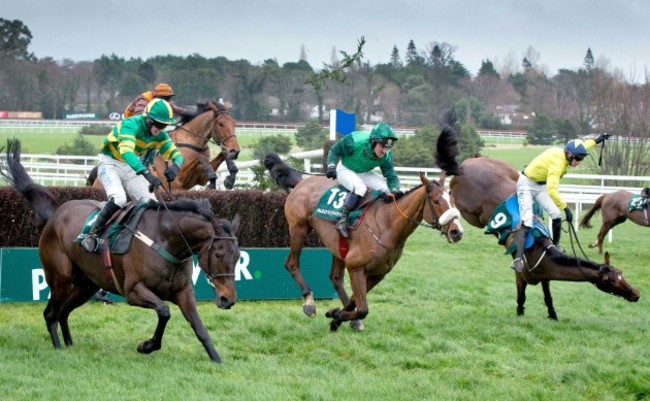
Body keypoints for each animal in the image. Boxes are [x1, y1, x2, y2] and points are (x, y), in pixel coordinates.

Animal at [1, 140, 239, 362]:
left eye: (237, 257)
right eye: (218, 254)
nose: (228, 300)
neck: (166, 238)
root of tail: (54, 216)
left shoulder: (184, 292)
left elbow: (199, 327)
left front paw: (216, 359)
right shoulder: (133, 290)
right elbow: (164, 311)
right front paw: (146, 346)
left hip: (86, 285)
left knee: (63, 312)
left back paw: (70, 345)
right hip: (60, 279)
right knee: (51, 313)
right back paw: (59, 348)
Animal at [90, 98, 239, 189]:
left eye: (234, 123)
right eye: (221, 124)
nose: (235, 151)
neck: (191, 140)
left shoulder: (197, 179)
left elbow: (220, 156)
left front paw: (230, 177)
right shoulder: (178, 180)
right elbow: (200, 158)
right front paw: (215, 179)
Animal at [264, 152, 460, 330]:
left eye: (452, 199)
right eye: (436, 201)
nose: (457, 231)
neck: (387, 225)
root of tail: (302, 182)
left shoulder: (378, 273)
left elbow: (354, 302)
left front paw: (337, 316)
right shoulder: (356, 267)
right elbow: (363, 309)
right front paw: (337, 316)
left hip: (337, 246)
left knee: (335, 278)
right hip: (299, 228)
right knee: (292, 264)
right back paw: (310, 303)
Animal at [430, 130, 636, 318]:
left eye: (622, 274)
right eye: (612, 281)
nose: (636, 294)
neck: (539, 250)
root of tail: (463, 169)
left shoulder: (546, 277)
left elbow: (548, 296)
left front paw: (552, 314)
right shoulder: (520, 277)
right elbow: (521, 298)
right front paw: (520, 312)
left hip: (507, 170)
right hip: (471, 213)